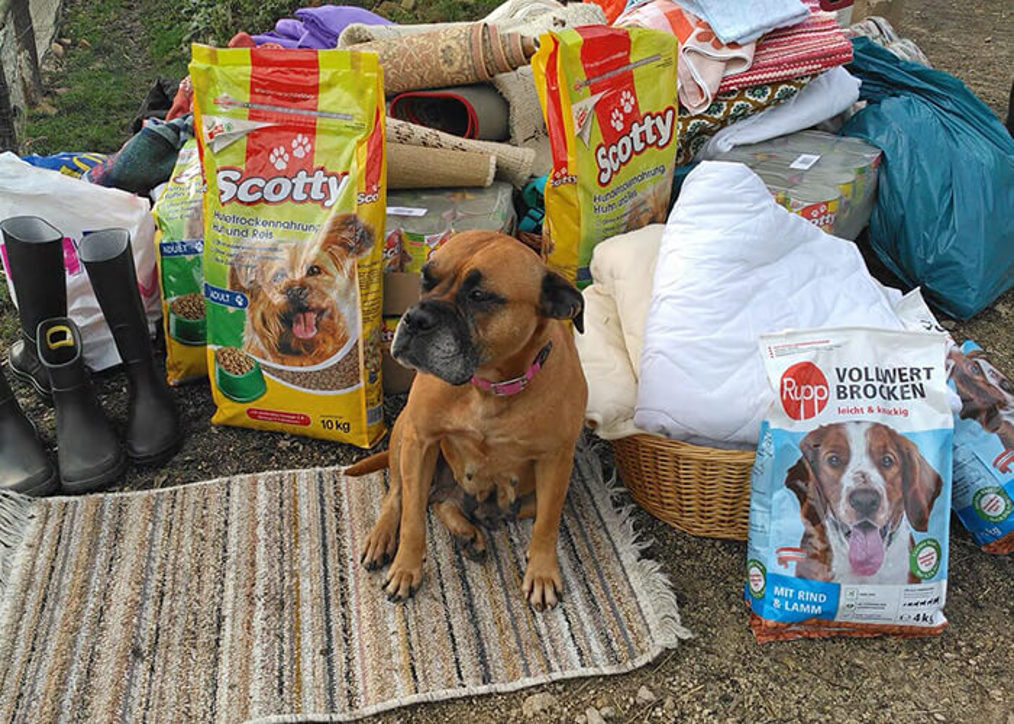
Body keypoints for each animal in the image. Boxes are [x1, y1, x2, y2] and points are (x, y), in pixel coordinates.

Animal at [345, 230, 587, 609]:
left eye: (479, 296)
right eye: (426, 278)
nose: (415, 318)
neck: (487, 387)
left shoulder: (557, 460)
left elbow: (547, 524)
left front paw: (543, 572)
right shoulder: (421, 441)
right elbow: (413, 519)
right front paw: (406, 568)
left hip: (533, 494)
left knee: (446, 502)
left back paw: (471, 530)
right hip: (404, 436)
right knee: (400, 495)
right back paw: (384, 537)